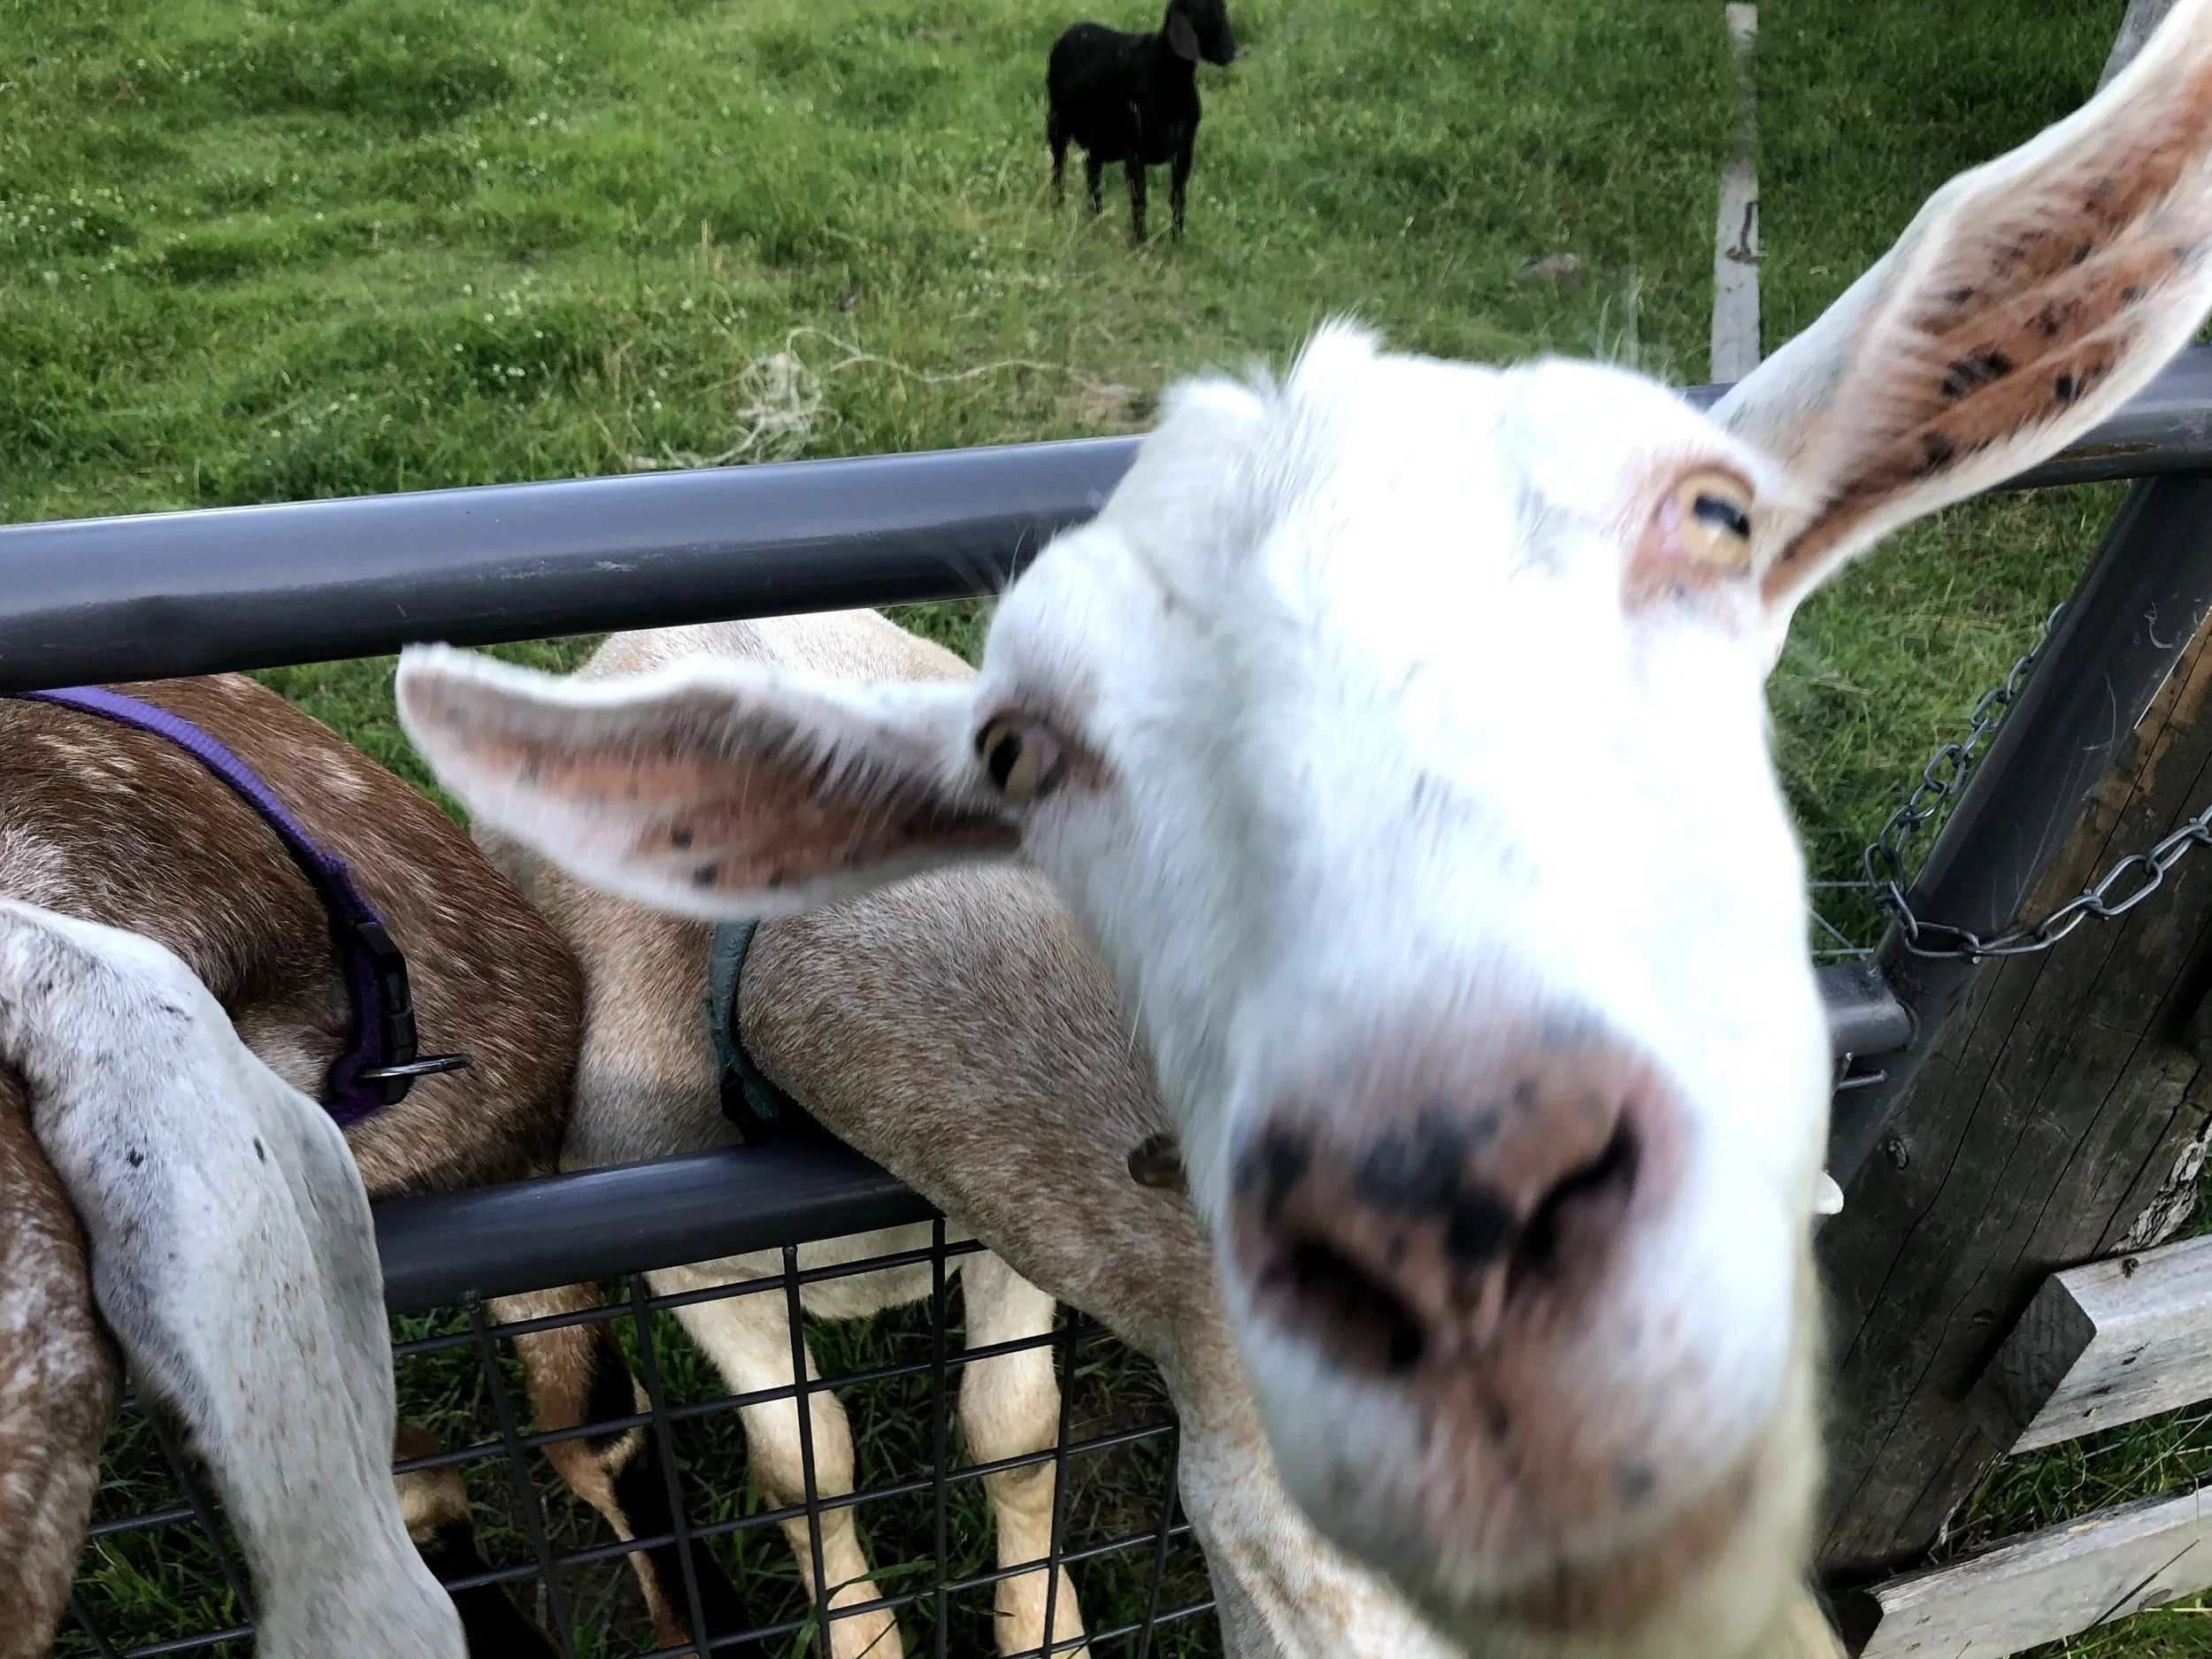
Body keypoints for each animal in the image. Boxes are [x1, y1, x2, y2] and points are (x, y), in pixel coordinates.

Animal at [1047, 0, 1237, 242]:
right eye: (1199, 9)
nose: (1232, 51)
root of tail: (1072, 30)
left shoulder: (1184, 148)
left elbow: (1178, 196)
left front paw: (1177, 239)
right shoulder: (1135, 148)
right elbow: (1139, 198)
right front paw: (1140, 241)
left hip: (1098, 137)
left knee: (1092, 171)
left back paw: (1096, 218)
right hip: (1057, 122)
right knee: (1059, 168)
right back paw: (1059, 209)